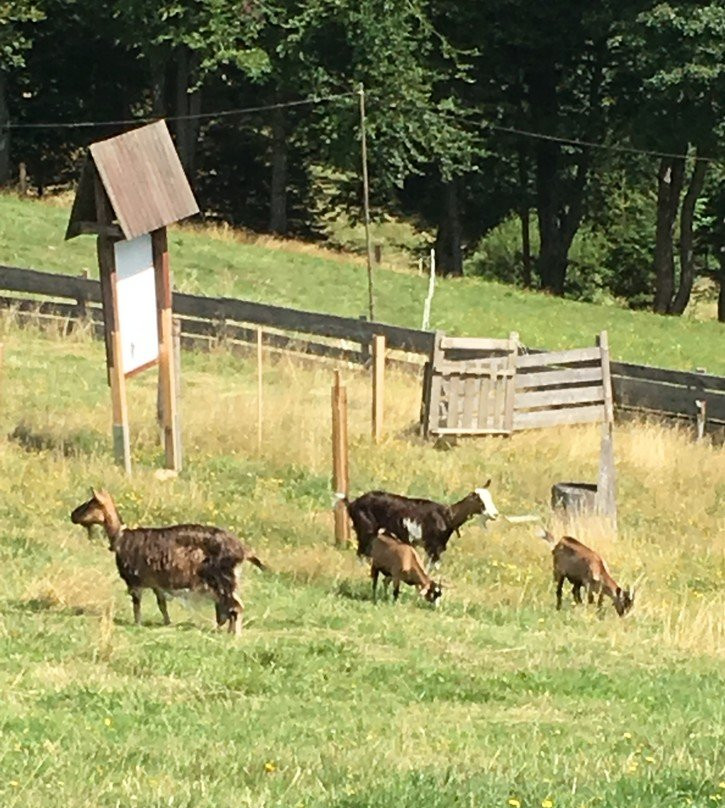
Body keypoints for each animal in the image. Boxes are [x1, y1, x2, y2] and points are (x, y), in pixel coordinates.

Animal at [68, 490, 264, 636]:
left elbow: (137, 605)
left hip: (224, 580)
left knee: (237, 607)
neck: (121, 537)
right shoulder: (157, 583)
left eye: (90, 504)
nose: (72, 515)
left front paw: (137, 624)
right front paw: (167, 623)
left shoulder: (134, 580)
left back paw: (235, 634)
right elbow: (161, 604)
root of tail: (243, 549)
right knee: (232, 607)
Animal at [338, 480, 498, 568]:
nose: (495, 514)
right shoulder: (432, 547)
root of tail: (352, 503)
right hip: (366, 530)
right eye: (480, 501)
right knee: (361, 553)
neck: (447, 516)